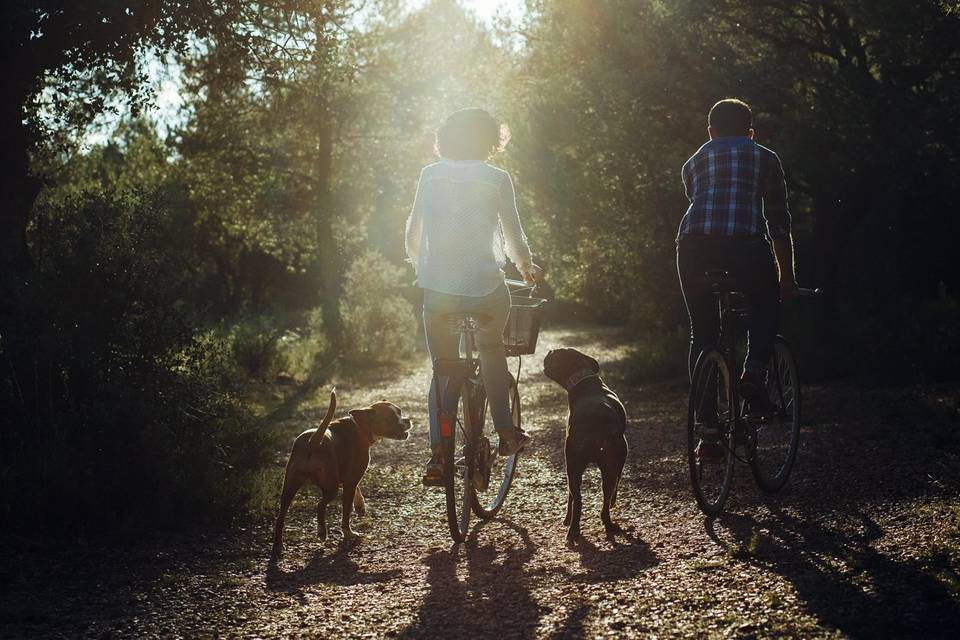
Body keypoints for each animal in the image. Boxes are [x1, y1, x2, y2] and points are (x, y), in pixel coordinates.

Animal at [268, 388, 410, 556]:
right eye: (390, 417)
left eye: (400, 411)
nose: (408, 420)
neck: (361, 426)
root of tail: (313, 440)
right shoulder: (350, 480)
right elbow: (346, 511)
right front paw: (348, 532)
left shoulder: (348, 477)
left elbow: (357, 490)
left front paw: (360, 506)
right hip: (331, 488)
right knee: (320, 505)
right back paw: (323, 532)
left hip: (290, 486)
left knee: (281, 516)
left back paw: (278, 546)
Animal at [544, 348, 628, 544]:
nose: (549, 351)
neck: (583, 379)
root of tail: (595, 422)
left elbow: (570, 497)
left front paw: (567, 519)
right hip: (606, 466)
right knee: (605, 498)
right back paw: (608, 524)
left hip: (575, 468)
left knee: (578, 499)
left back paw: (574, 529)